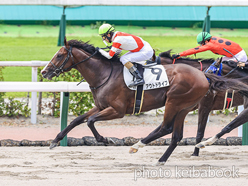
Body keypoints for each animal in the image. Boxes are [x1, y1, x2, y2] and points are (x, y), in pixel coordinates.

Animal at [40, 38, 248, 164]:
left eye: (59, 55)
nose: (44, 72)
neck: (105, 74)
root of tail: (204, 76)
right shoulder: (101, 106)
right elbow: (77, 120)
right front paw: (55, 140)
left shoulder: (117, 110)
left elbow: (90, 121)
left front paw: (104, 139)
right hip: (183, 106)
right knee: (175, 134)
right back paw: (160, 159)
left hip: (174, 102)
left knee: (166, 128)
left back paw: (137, 146)